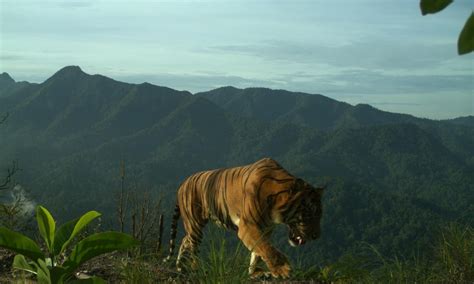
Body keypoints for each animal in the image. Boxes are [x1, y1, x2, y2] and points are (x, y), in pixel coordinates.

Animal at [165, 156, 324, 278]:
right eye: (310, 214)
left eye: (319, 215)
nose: (316, 236)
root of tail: (182, 184)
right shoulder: (248, 226)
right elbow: (267, 249)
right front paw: (283, 269)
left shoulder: (265, 228)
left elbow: (258, 251)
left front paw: (255, 272)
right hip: (195, 224)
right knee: (192, 246)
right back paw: (195, 267)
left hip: (194, 227)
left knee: (185, 240)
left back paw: (180, 266)